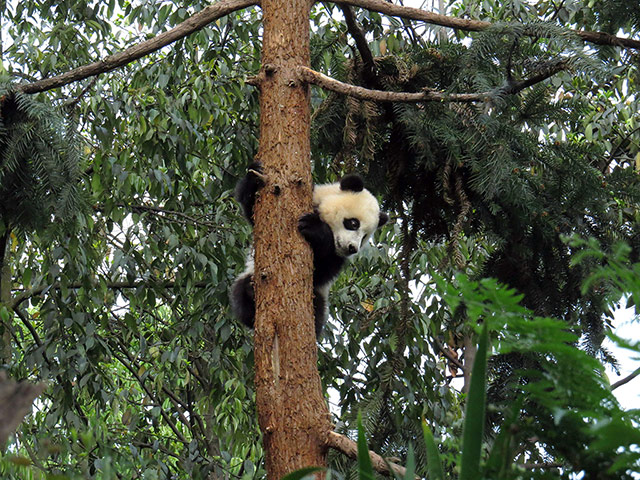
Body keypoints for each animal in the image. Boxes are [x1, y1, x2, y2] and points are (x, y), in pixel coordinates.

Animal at [231, 163, 389, 337]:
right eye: (354, 223)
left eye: (365, 236)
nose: (352, 248)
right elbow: (252, 212)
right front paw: (255, 174)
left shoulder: (336, 258)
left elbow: (322, 271)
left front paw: (314, 228)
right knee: (241, 298)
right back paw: (250, 291)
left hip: (318, 297)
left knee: (317, 309)